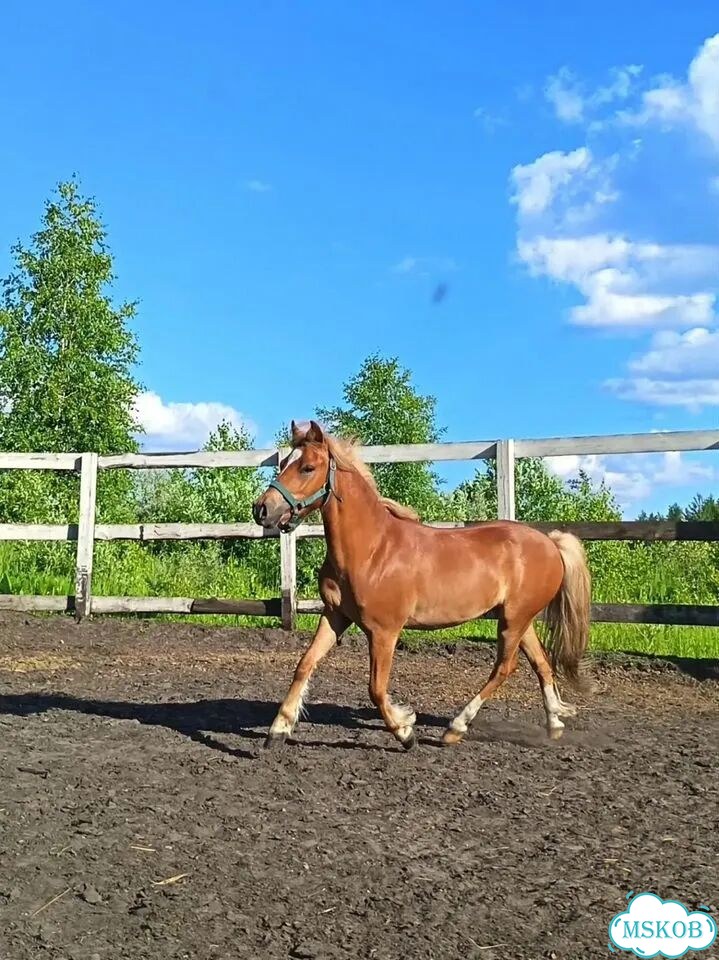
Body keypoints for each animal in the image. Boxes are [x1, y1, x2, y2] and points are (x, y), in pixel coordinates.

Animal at [252, 420, 591, 750]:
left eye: (308, 467)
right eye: (284, 464)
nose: (261, 509)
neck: (371, 551)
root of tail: (551, 542)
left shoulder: (384, 631)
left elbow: (376, 688)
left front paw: (405, 731)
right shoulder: (335, 616)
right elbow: (304, 664)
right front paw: (278, 730)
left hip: (514, 619)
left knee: (504, 668)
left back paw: (455, 728)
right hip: (518, 618)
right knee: (540, 662)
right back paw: (554, 724)